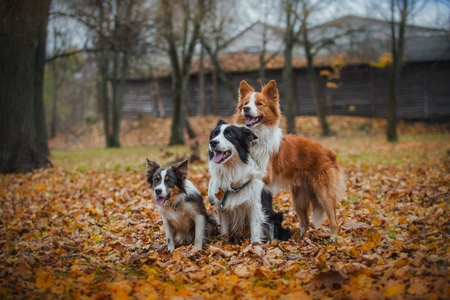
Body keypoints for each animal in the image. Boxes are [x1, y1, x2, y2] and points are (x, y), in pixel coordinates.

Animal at [236, 79, 344, 239]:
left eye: (259, 104)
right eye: (245, 103)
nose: (246, 108)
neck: (255, 137)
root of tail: (329, 153)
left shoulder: (266, 176)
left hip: (324, 193)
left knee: (334, 219)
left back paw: (334, 239)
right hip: (298, 197)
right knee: (305, 221)